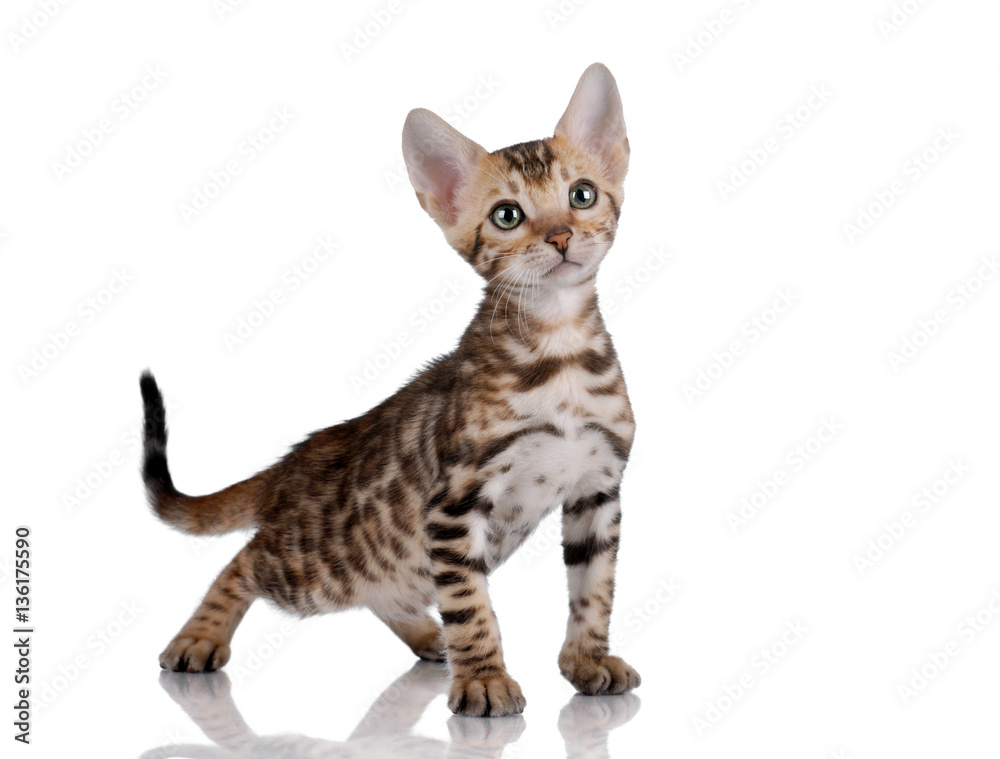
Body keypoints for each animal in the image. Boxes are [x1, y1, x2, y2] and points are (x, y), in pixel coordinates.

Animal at [139, 62, 640, 716]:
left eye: (582, 194)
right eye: (507, 215)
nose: (559, 236)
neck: (561, 355)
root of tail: (292, 463)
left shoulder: (597, 490)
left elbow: (594, 590)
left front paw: (587, 661)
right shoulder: (456, 501)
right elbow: (470, 604)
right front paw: (483, 678)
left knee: (383, 592)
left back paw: (428, 636)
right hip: (312, 567)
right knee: (242, 561)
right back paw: (198, 637)